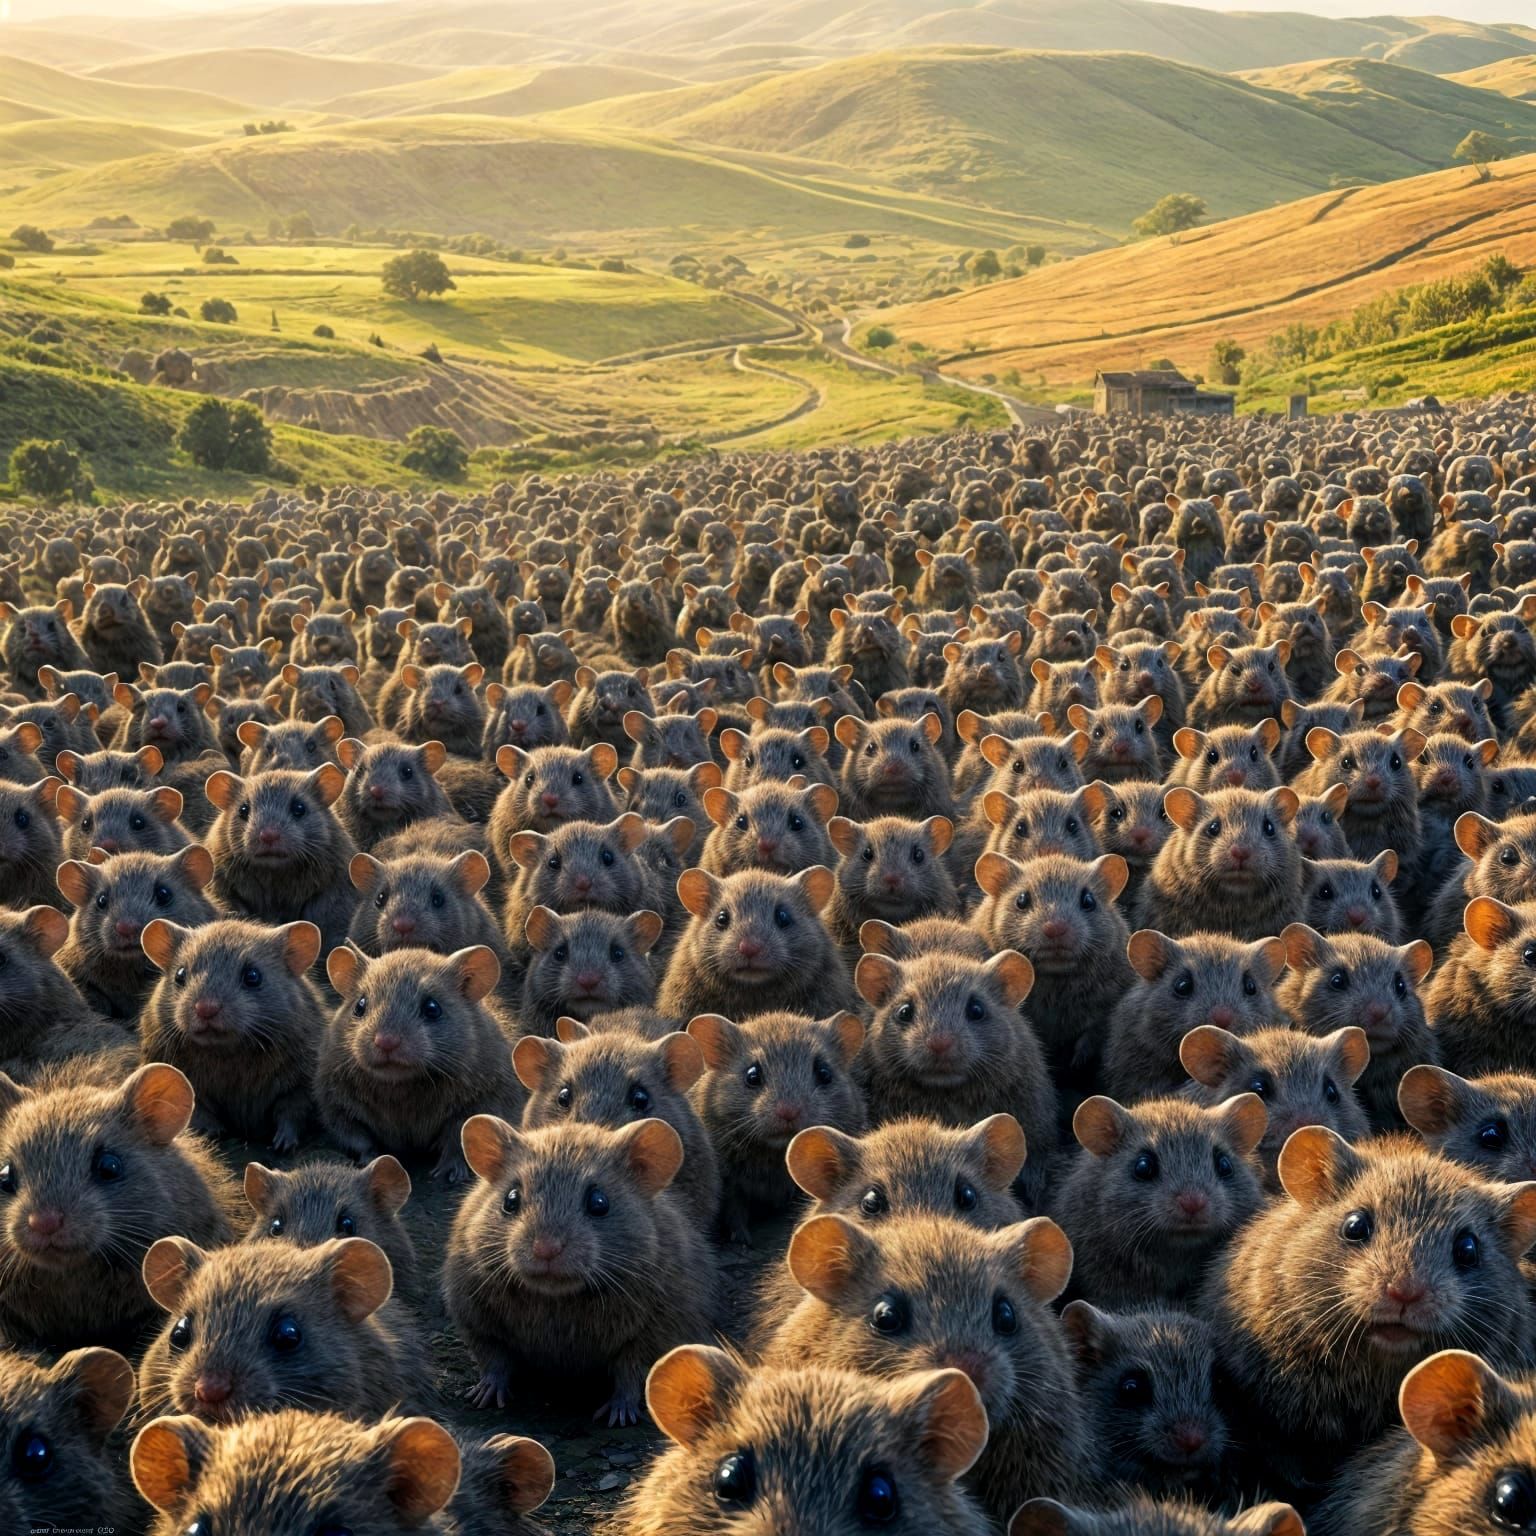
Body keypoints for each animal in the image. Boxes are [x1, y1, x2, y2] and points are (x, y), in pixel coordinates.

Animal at [138, 917, 324, 1149]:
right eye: (180, 975)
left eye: (253, 976)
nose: (205, 1009)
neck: (227, 1052)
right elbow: (198, 1110)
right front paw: (212, 1133)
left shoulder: (300, 1084)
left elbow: (291, 1112)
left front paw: (283, 1143)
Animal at [318, 943, 524, 1181]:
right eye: (359, 1006)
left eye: (433, 1008)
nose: (385, 1042)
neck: (401, 1087)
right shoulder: (338, 1108)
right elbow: (360, 1140)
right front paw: (370, 1161)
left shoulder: (481, 1102)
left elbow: (457, 1141)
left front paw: (449, 1172)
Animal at [445, 1115, 718, 1426]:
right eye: (510, 1200)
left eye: (599, 1203)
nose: (545, 1249)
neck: (557, 1300)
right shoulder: (476, 1321)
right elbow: (494, 1361)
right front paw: (485, 1393)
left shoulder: (657, 1331)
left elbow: (631, 1375)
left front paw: (619, 1413)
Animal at [687, 1008, 866, 1242]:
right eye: (752, 1075)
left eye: (824, 1073)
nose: (789, 1112)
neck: (775, 1155)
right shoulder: (730, 1182)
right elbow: (735, 1212)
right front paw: (742, 1240)